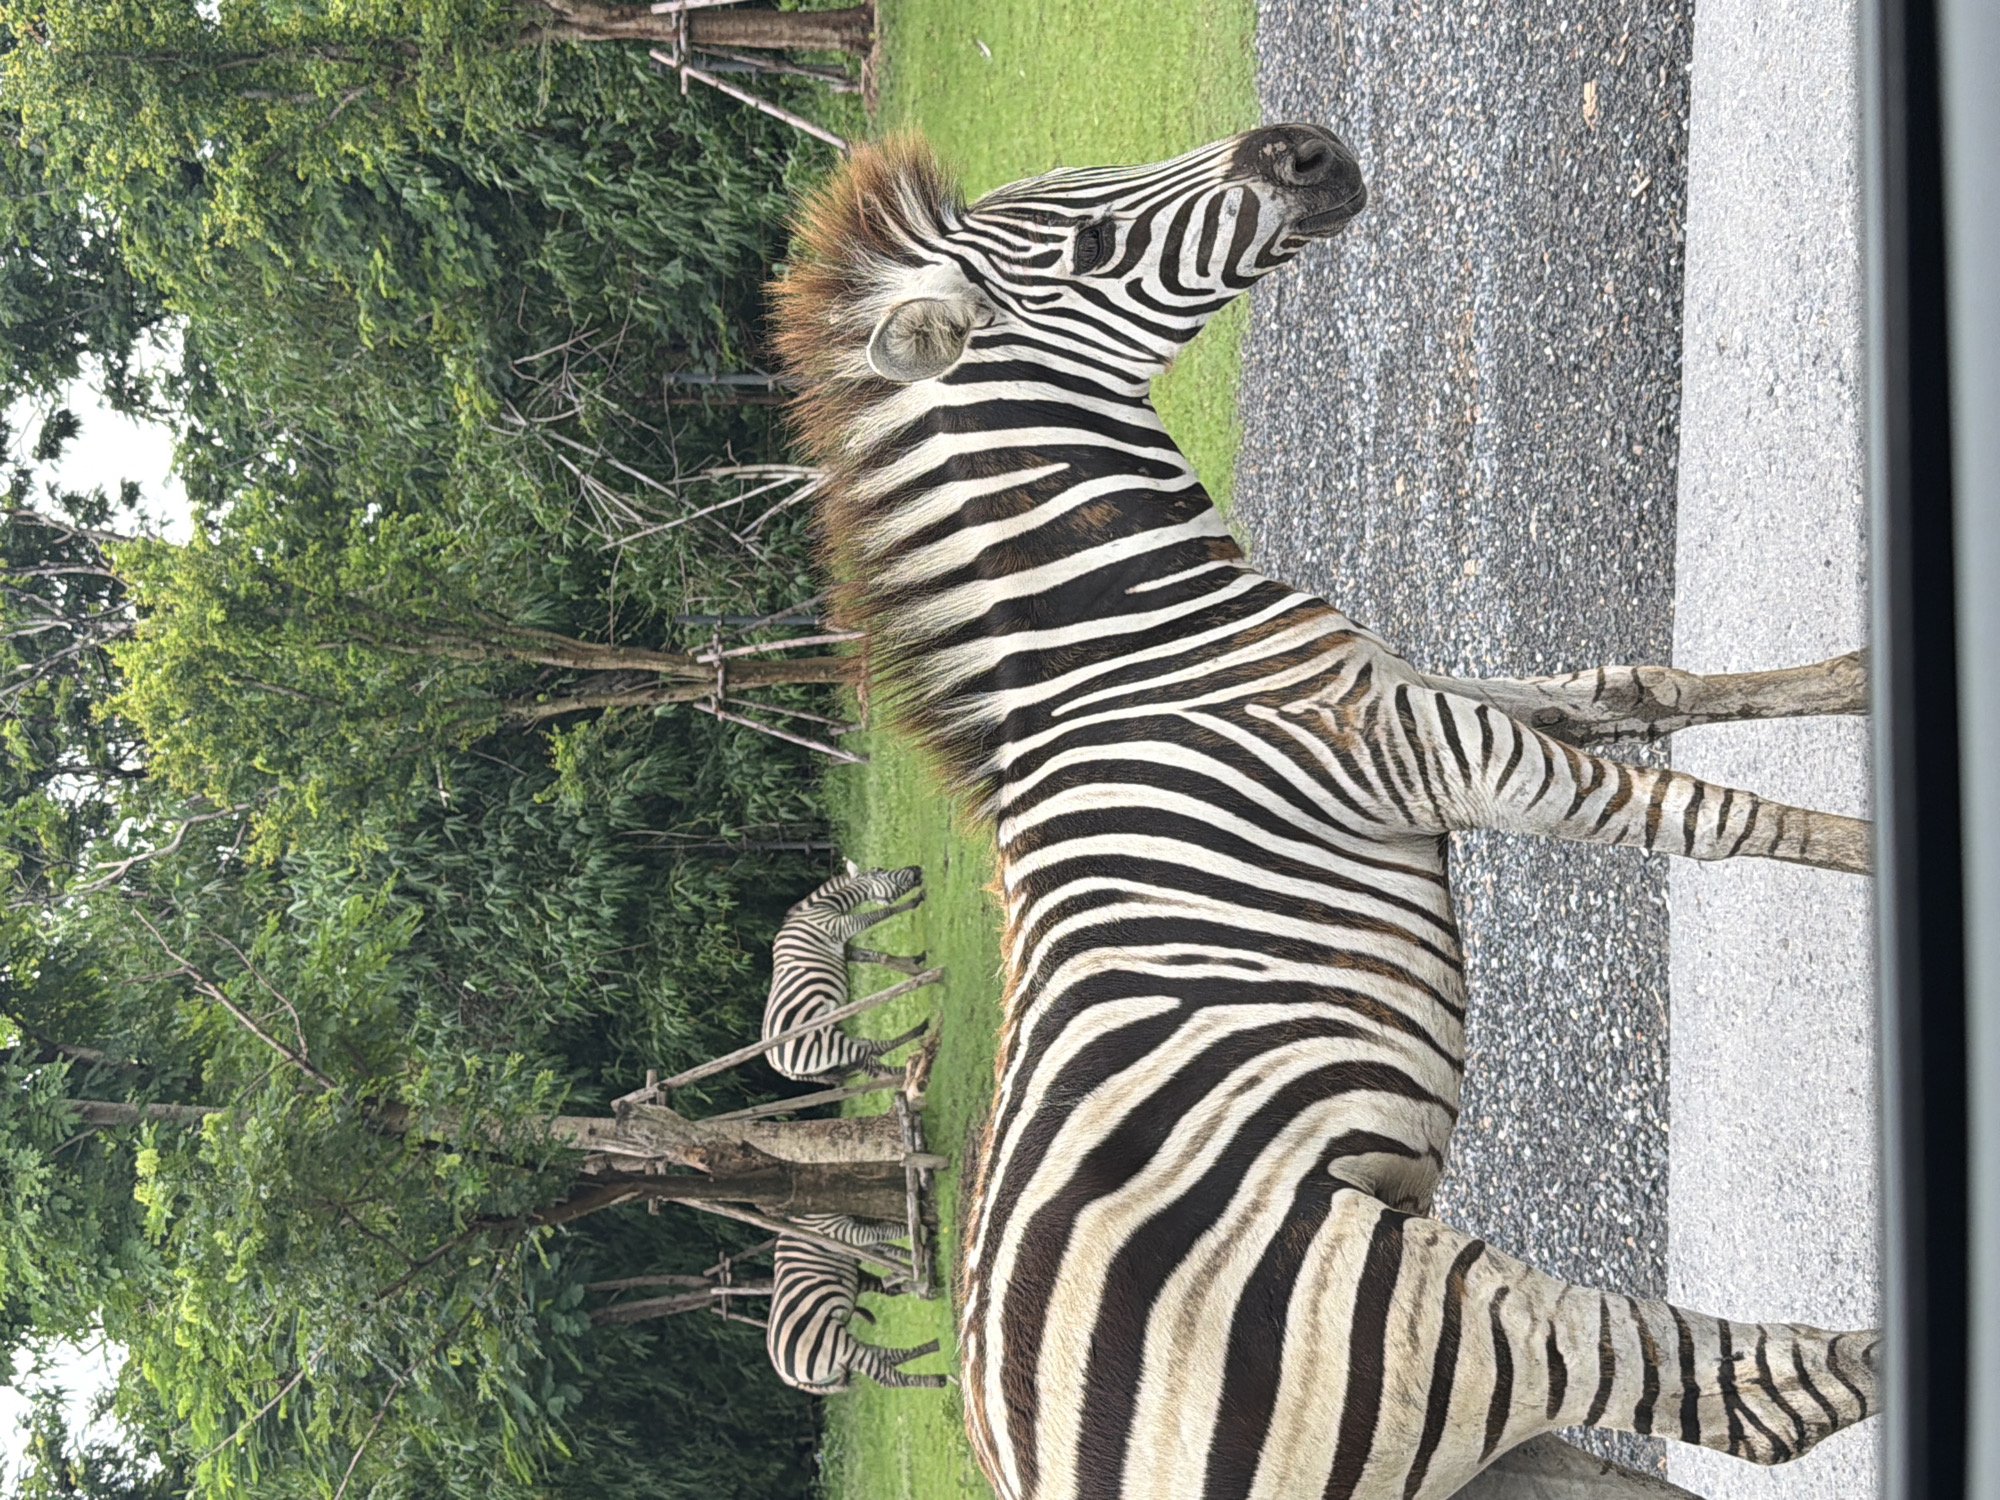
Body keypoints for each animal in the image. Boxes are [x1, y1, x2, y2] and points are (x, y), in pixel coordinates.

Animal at [764, 863, 930, 1083]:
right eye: (880, 870)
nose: (917, 868)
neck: (822, 907)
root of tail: (779, 1066)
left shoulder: (845, 949)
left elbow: (878, 956)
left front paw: (914, 964)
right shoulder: (843, 926)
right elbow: (880, 914)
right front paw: (916, 900)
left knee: (872, 1050)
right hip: (831, 1044)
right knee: (873, 1064)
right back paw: (913, 1074)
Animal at [765, 1237, 948, 1393]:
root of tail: (789, 1379)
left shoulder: (855, 1268)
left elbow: (887, 1287)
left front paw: (923, 1286)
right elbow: (889, 1254)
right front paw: (923, 1267)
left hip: (842, 1352)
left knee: (889, 1356)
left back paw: (934, 1346)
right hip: (839, 1346)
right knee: (888, 1377)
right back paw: (937, 1379)